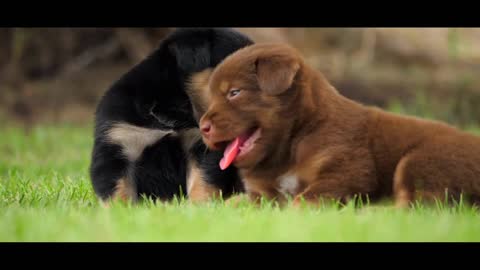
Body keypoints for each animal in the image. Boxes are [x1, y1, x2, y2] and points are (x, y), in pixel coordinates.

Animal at [91, 28, 255, 205]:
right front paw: (119, 209)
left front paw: (199, 206)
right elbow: (118, 190)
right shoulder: (118, 144)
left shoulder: (198, 146)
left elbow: (202, 181)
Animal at [200, 42, 480, 208]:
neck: (293, 142)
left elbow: (304, 199)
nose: (202, 126)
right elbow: (234, 203)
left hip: (421, 160)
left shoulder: (347, 171)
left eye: (234, 92)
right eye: (211, 96)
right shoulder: (262, 193)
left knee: (420, 204)